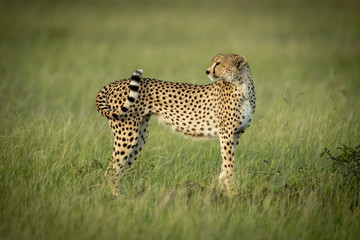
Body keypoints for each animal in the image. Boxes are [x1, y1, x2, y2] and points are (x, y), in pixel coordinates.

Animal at [95, 53, 256, 196]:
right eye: (214, 62)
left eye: (219, 63)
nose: (207, 71)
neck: (242, 86)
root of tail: (116, 82)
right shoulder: (226, 132)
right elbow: (229, 165)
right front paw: (232, 194)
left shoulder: (236, 134)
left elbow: (226, 165)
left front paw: (224, 191)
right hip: (127, 134)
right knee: (111, 171)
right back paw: (118, 198)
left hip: (140, 135)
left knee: (121, 170)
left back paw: (127, 197)